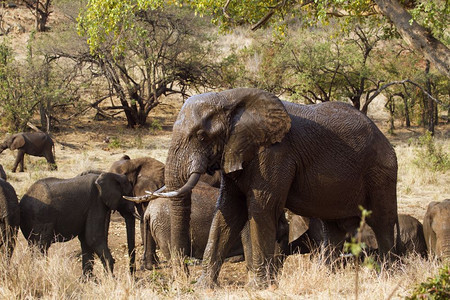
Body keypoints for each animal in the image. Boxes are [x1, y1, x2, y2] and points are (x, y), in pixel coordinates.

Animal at [147, 87, 398, 286]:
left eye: (201, 136)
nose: (184, 278)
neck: (229, 98)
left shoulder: (275, 153)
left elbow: (261, 208)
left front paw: (258, 286)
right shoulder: (235, 152)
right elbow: (228, 210)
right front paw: (204, 287)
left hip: (381, 173)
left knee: (382, 222)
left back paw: (387, 275)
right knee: (333, 227)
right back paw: (328, 277)